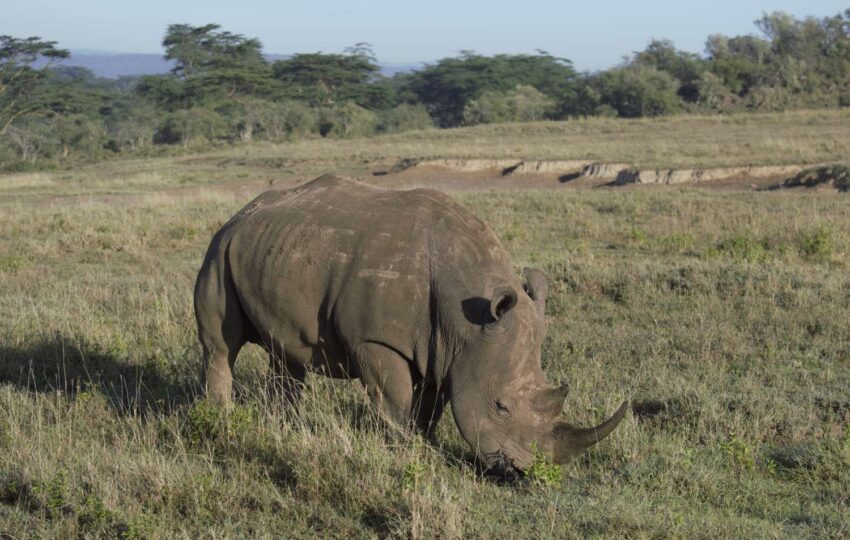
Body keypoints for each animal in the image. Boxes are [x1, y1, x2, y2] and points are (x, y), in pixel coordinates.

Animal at [194, 175, 626, 479]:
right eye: (501, 406)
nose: (528, 472)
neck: (466, 310)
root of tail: (242, 211)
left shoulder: (450, 349)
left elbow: (434, 403)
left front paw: (426, 444)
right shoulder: (377, 340)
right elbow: (395, 400)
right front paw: (403, 449)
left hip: (275, 251)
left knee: (286, 354)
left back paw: (284, 429)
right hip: (218, 250)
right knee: (221, 347)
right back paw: (220, 421)